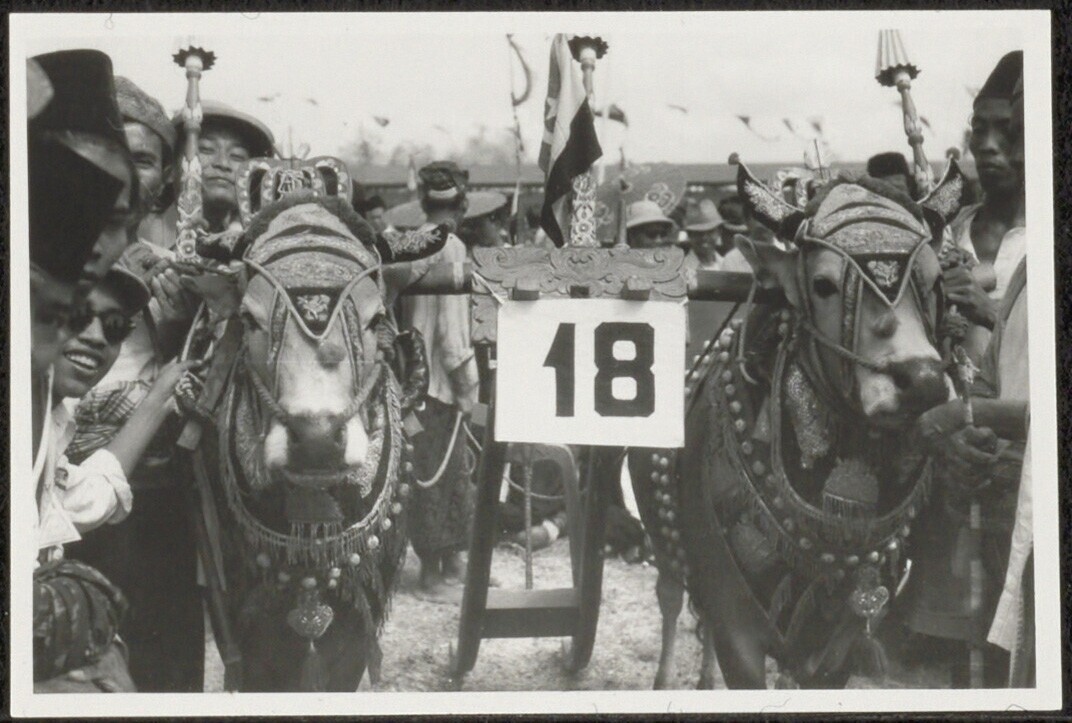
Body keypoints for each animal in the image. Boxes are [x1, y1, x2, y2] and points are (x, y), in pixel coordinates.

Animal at [629, 159, 967, 689]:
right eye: (825, 284)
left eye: (934, 281)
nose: (922, 381)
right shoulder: (738, 628)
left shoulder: (843, 634)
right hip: (662, 534)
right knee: (670, 595)